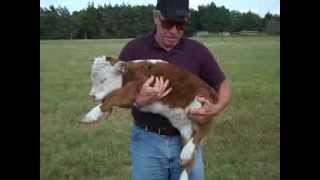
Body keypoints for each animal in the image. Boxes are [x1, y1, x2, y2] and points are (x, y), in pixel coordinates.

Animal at [82, 55, 218, 179]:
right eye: (92, 79)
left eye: (103, 80)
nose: (92, 96)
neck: (128, 74)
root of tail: (213, 93)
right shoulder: (133, 99)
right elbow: (112, 97)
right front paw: (105, 112)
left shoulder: (138, 85)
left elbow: (115, 96)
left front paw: (91, 115)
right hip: (185, 129)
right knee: (189, 159)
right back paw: (185, 162)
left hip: (200, 104)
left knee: (204, 129)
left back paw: (187, 150)